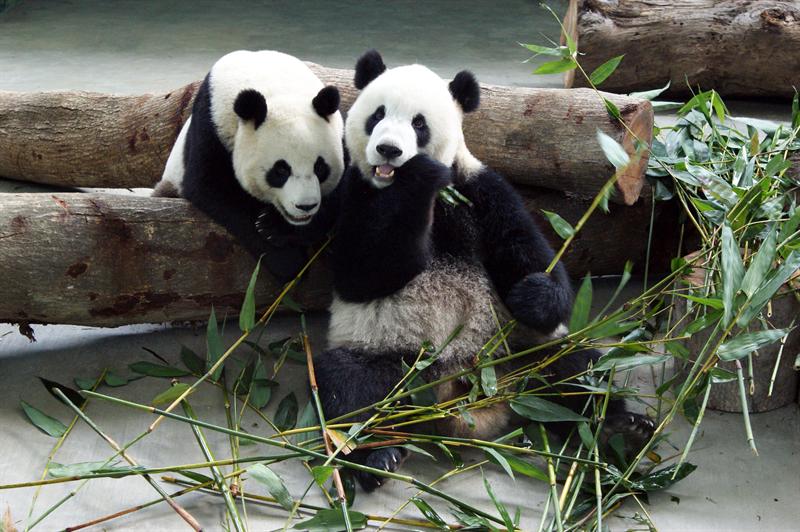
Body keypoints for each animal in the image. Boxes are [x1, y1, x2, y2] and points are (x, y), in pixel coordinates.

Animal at [155, 51, 346, 280]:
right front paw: (286, 259)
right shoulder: (211, 123)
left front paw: (280, 228)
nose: (305, 206)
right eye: (281, 170)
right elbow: (213, 187)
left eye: (320, 167)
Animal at [314, 50, 656, 490]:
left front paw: (533, 295)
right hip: (392, 355)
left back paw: (621, 429)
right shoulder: (353, 192)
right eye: (377, 115)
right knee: (350, 390)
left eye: (418, 123)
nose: (389, 150)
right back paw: (376, 456)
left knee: (576, 370)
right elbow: (363, 272)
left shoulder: (479, 188)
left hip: (519, 349)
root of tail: (461, 394)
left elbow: (525, 249)